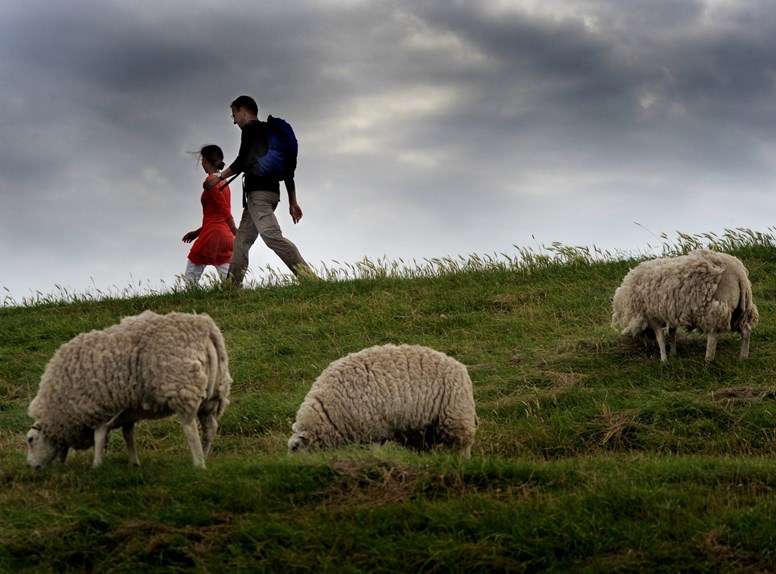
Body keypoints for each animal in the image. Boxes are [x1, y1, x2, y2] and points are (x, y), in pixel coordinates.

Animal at [28, 312, 233, 470]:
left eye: (30, 440)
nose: (31, 467)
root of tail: (206, 328)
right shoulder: (125, 410)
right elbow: (128, 435)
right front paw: (134, 463)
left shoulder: (98, 407)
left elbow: (99, 437)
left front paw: (96, 465)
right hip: (215, 393)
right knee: (210, 427)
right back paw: (205, 455)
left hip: (181, 386)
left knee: (190, 428)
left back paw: (198, 464)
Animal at [286, 346, 476, 460]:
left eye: (295, 448)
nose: (290, 465)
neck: (327, 411)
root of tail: (459, 366)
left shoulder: (372, 428)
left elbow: (374, 449)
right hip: (423, 425)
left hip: (455, 415)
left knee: (463, 444)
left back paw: (462, 461)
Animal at [612, 249, 756, 364]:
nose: (648, 347)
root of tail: (739, 272)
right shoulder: (670, 311)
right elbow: (672, 332)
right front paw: (673, 353)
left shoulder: (652, 315)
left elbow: (660, 337)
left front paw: (663, 359)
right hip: (740, 309)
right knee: (746, 330)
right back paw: (743, 357)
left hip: (714, 307)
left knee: (713, 335)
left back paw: (708, 359)